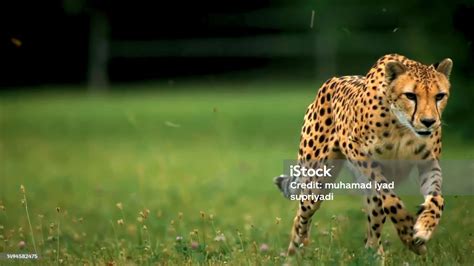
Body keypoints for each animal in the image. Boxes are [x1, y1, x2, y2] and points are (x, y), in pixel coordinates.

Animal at [276, 53, 454, 256]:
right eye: (410, 95)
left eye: (439, 96)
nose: (429, 122)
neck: (402, 126)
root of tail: (330, 81)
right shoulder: (355, 148)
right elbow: (391, 199)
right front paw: (408, 230)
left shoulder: (428, 163)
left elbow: (437, 198)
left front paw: (424, 227)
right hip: (316, 182)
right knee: (301, 217)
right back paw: (294, 253)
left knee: (372, 230)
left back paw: (375, 254)